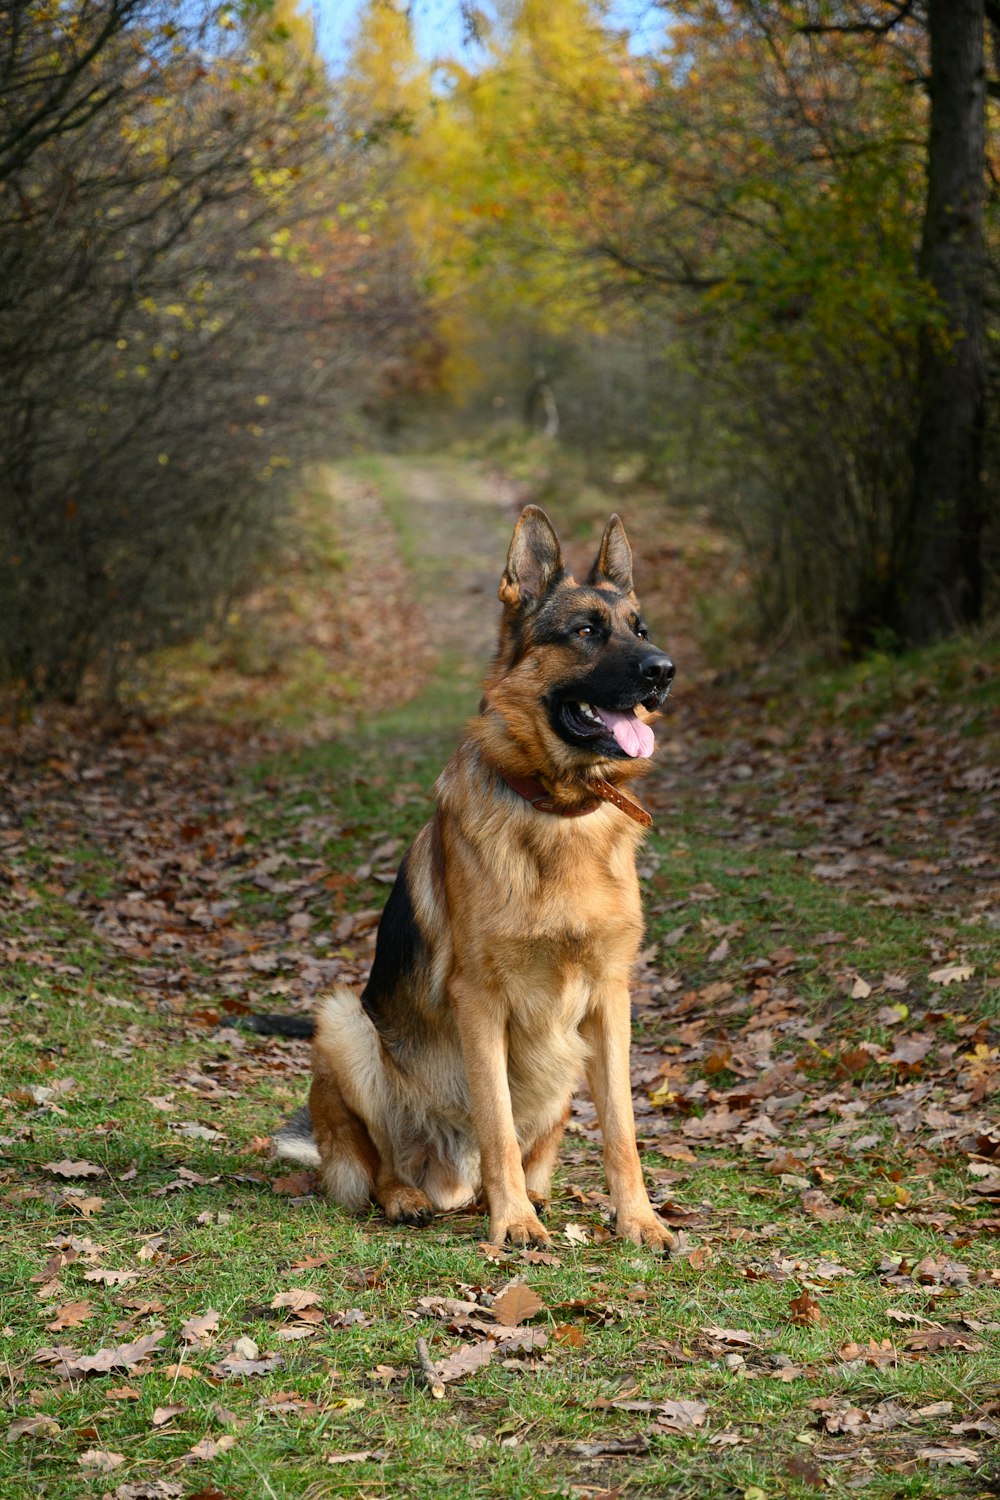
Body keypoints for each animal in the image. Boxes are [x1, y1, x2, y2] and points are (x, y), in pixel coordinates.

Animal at [275, 510, 680, 1248]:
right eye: (586, 631)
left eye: (640, 629)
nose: (664, 670)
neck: (558, 812)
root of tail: (450, 1182)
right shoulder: (480, 1000)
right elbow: (494, 1118)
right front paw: (513, 1221)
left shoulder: (611, 998)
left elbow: (624, 1130)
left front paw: (637, 1219)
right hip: (344, 1022)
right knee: (379, 1163)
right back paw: (411, 1196)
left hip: (563, 1069)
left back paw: (537, 1193)